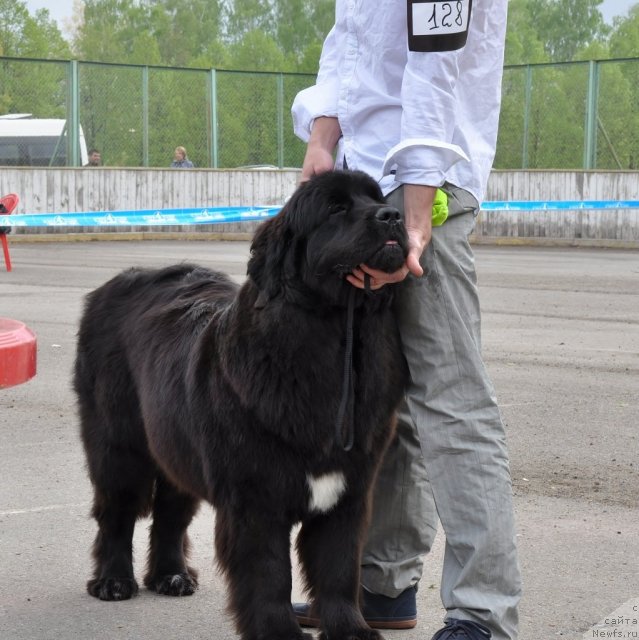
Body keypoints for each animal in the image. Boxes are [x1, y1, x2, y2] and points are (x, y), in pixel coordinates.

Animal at [72, 170, 408, 640]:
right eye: (336, 208)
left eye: (377, 197)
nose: (393, 215)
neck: (333, 338)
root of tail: (114, 284)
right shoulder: (255, 497)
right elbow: (269, 573)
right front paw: (279, 632)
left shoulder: (349, 490)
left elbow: (339, 568)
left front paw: (351, 630)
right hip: (119, 446)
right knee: (117, 511)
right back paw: (113, 581)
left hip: (177, 444)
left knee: (171, 511)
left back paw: (172, 576)